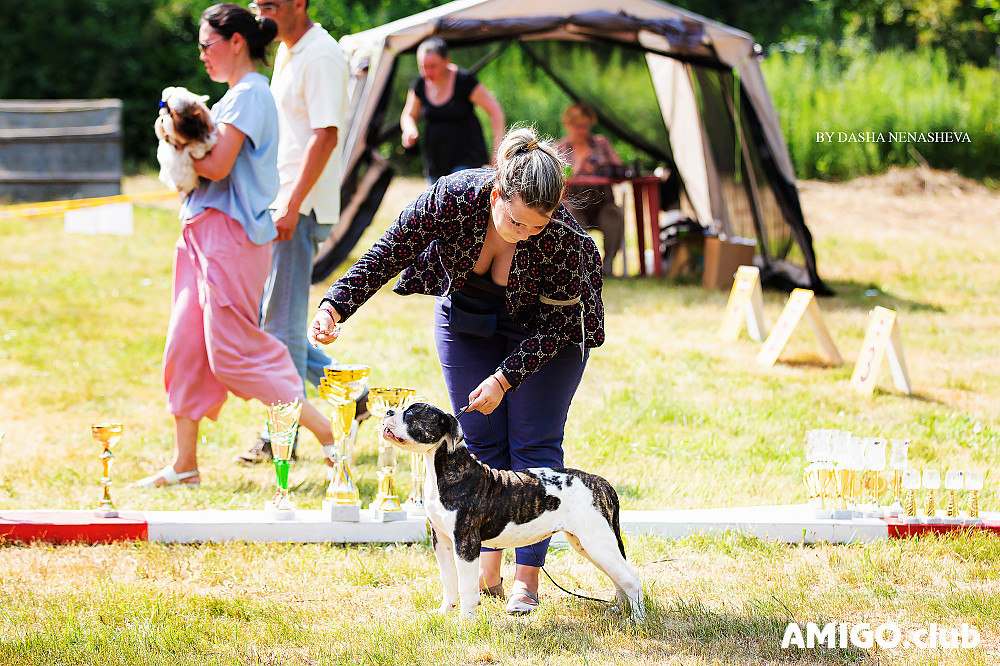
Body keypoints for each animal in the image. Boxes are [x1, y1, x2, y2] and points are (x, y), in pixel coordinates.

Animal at [378, 400, 644, 624]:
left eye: (411, 413)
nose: (388, 411)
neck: (444, 469)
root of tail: (601, 482)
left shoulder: (465, 543)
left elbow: (466, 585)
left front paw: (465, 622)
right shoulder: (441, 539)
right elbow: (449, 579)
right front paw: (444, 612)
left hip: (597, 542)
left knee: (631, 576)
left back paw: (637, 619)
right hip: (586, 544)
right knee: (618, 575)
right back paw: (620, 609)